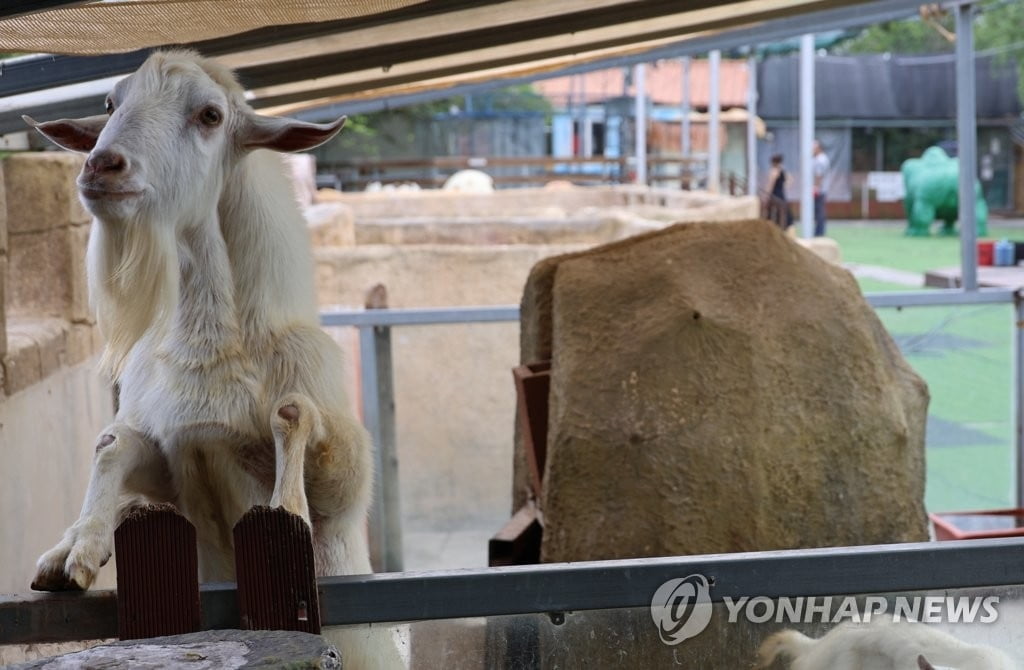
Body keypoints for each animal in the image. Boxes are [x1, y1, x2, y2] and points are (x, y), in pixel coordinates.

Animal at [25, 49, 401, 667]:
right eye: (109, 102)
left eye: (210, 115)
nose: (102, 166)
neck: (210, 353)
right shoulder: (170, 456)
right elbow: (114, 442)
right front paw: (75, 547)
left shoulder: (344, 476)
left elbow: (294, 414)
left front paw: (288, 508)